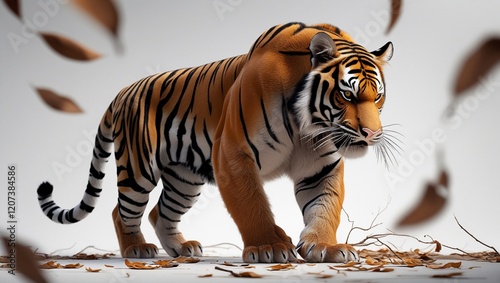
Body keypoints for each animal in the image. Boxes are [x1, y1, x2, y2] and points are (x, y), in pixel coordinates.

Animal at [36, 22, 394, 264]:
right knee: (120, 210)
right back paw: (137, 248)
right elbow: (251, 205)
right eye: (346, 95)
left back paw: (181, 249)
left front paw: (325, 247)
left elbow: (325, 208)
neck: (306, 125)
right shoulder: (233, 155)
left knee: (160, 212)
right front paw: (269, 247)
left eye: (377, 96)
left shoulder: (320, 168)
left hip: (184, 179)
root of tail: (124, 91)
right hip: (138, 170)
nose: (371, 134)